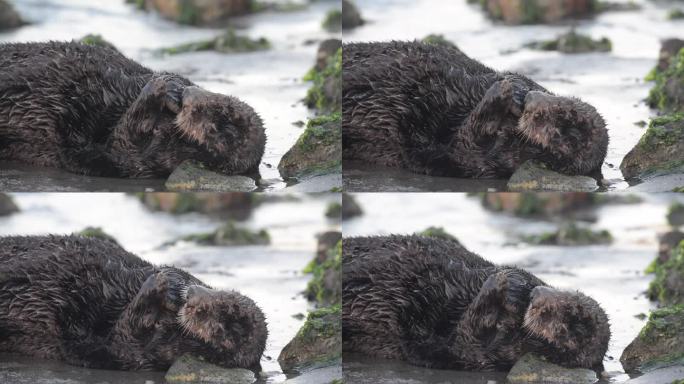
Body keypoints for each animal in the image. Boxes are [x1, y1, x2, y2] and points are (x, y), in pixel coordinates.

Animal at [0, 41, 264, 179]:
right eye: (218, 99)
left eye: (204, 113)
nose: (189, 94)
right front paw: (173, 83)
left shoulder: (140, 161)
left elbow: (122, 140)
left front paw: (160, 89)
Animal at [0, 236, 268, 370]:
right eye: (218, 292)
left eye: (203, 311)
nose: (190, 293)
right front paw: (172, 280)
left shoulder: (144, 354)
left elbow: (121, 339)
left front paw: (159, 287)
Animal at [342, 41, 608, 178]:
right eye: (555, 100)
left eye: (541, 116)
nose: (530, 99)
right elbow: (512, 75)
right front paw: (514, 87)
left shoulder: (482, 162)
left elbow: (464, 143)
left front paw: (500, 95)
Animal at [344, 236, 612, 370]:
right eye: (561, 293)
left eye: (551, 312)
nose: (535, 295)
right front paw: (515, 282)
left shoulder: (483, 355)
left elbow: (460, 338)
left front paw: (504, 290)